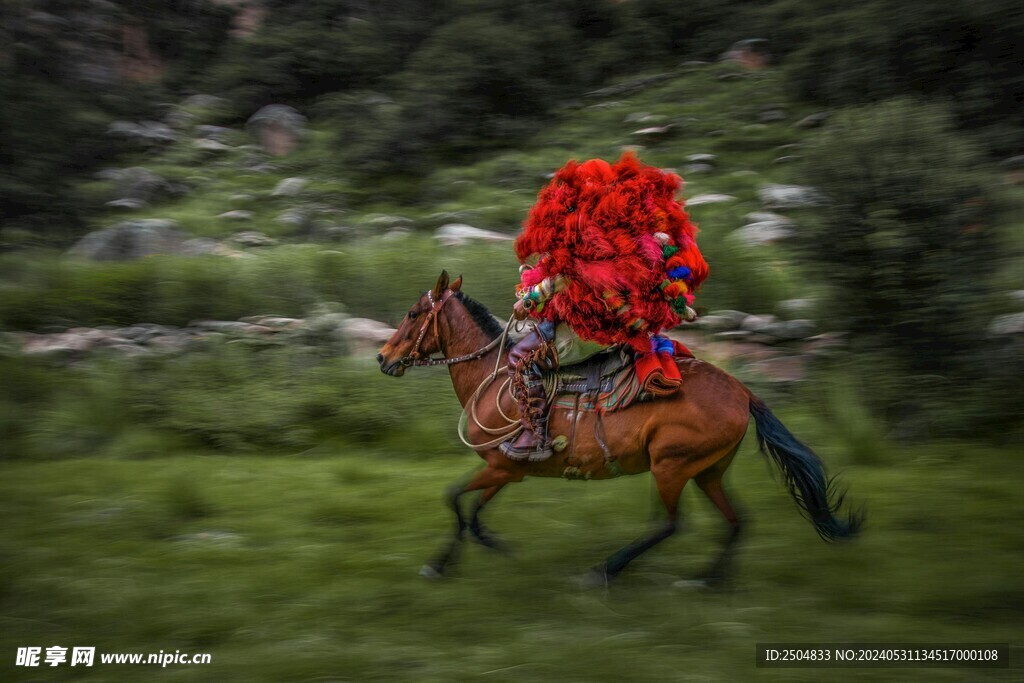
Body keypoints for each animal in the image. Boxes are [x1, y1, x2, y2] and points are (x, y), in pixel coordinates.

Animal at [377, 271, 862, 585]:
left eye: (414, 312)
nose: (383, 358)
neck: (492, 379)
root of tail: (743, 392)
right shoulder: (505, 471)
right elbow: (469, 510)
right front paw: (474, 552)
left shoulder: (501, 467)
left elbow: (456, 501)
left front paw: (449, 562)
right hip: (707, 470)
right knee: (736, 521)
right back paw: (708, 580)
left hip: (670, 466)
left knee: (670, 524)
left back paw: (604, 571)